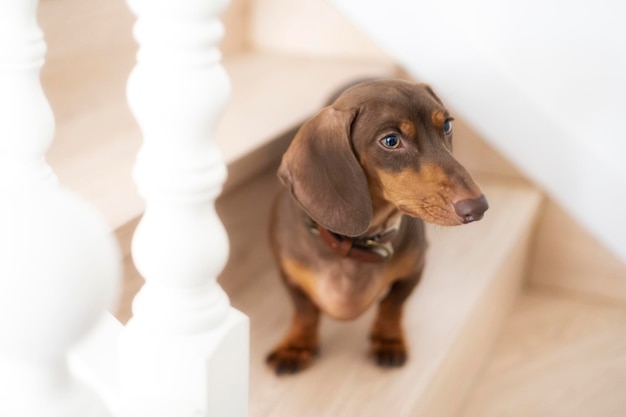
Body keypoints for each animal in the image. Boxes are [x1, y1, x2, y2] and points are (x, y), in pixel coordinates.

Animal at [266, 79, 486, 374]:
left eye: (447, 125)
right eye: (390, 141)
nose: (479, 207)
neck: (357, 243)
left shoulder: (414, 269)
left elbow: (392, 305)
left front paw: (388, 340)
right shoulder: (288, 275)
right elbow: (305, 310)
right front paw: (297, 345)